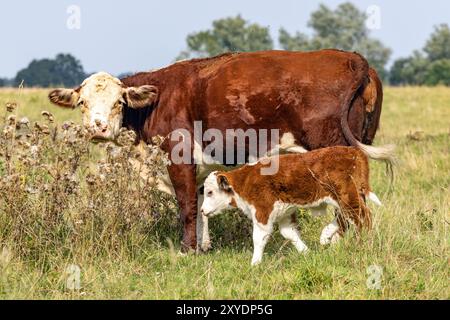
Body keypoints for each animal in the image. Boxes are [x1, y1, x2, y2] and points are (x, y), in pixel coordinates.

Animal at [48, 49, 394, 252]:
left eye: (118, 103)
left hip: (331, 150)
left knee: (348, 202)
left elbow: (187, 206)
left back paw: (335, 238)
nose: (98, 128)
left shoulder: (179, 158)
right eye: (83, 103)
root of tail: (352, 58)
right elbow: (202, 204)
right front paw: (203, 246)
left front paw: (186, 250)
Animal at [202, 146, 382, 264]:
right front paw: (306, 252)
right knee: (345, 217)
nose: (202, 210)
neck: (244, 181)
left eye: (210, 192)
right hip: (347, 198)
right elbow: (289, 233)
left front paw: (255, 263)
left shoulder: (262, 211)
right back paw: (325, 237)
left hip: (347, 197)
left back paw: (365, 244)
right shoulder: (284, 213)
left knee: (362, 217)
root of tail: (354, 151)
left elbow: (259, 238)